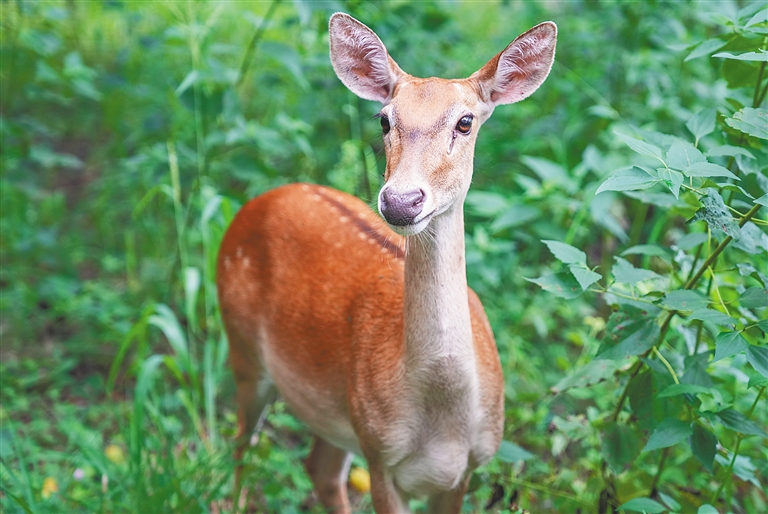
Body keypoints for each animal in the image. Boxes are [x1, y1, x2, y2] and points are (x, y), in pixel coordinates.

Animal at [216, 12, 560, 512]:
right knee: (242, 447)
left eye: (465, 122)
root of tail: (263, 199)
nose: (401, 201)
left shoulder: (466, 469)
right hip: (243, 348)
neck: (443, 417)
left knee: (319, 469)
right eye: (383, 119)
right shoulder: (379, 453)